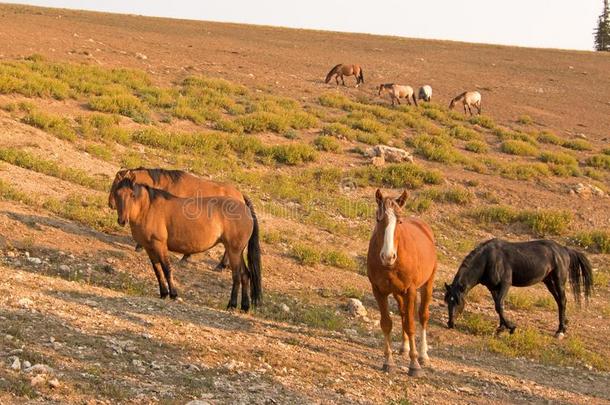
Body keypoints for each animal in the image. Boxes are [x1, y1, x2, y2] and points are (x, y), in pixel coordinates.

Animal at [113, 176, 260, 310]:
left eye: (132, 195)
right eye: (117, 194)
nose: (122, 220)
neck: (148, 208)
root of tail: (244, 206)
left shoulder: (160, 245)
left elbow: (166, 269)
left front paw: (173, 294)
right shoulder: (150, 248)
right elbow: (158, 271)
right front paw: (163, 293)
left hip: (234, 251)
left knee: (237, 276)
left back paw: (232, 304)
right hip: (237, 252)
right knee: (245, 275)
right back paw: (245, 306)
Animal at [366, 189, 436, 376]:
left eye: (399, 221)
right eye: (379, 219)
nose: (388, 256)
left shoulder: (410, 290)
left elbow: (411, 325)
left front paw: (414, 364)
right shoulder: (378, 290)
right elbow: (386, 324)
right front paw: (388, 361)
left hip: (427, 284)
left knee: (422, 316)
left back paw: (423, 355)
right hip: (397, 292)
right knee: (403, 312)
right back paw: (404, 348)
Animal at [444, 238, 592, 336]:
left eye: (458, 302)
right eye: (447, 302)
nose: (450, 324)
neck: (488, 259)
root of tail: (564, 249)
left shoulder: (505, 284)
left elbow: (499, 305)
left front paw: (511, 327)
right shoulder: (492, 288)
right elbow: (498, 306)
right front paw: (501, 328)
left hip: (559, 280)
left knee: (562, 300)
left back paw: (560, 330)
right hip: (549, 281)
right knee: (559, 302)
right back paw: (564, 324)